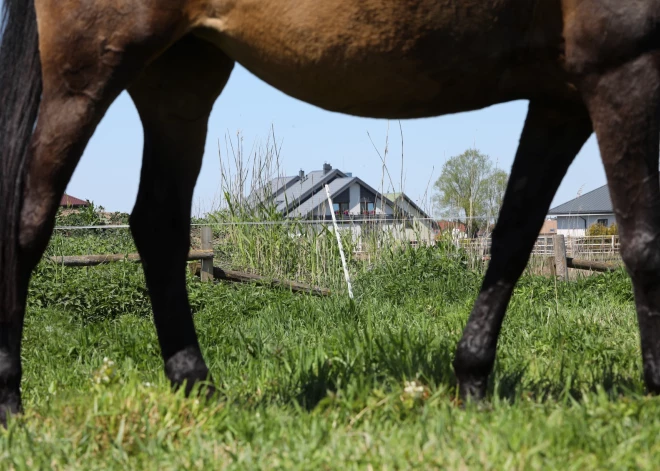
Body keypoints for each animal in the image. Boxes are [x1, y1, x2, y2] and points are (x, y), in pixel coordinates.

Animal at [1, 0, 660, 424]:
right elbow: (643, 242)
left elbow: (515, 236)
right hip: (87, 67)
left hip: (181, 75)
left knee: (157, 225)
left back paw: (196, 387)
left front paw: (472, 380)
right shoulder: (620, 62)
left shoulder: (559, 95)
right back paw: (12, 405)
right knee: (27, 221)